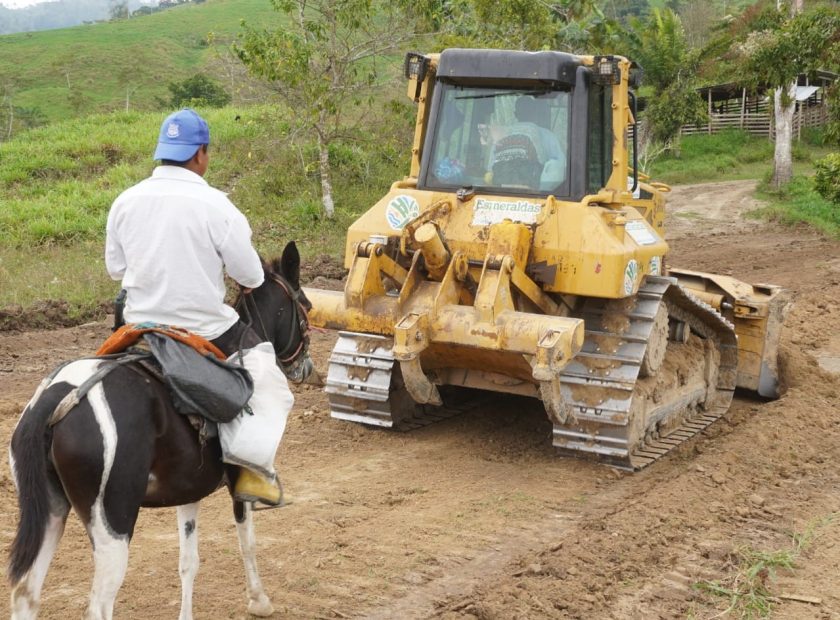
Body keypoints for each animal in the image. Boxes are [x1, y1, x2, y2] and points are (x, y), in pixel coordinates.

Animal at [5, 241, 316, 620]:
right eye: (306, 306)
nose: (306, 368)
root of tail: (57, 397)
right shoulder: (237, 483)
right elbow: (247, 541)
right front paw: (259, 601)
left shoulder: (188, 489)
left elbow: (188, 561)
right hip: (113, 523)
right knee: (99, 604)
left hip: (50, 511)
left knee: (26, 593)